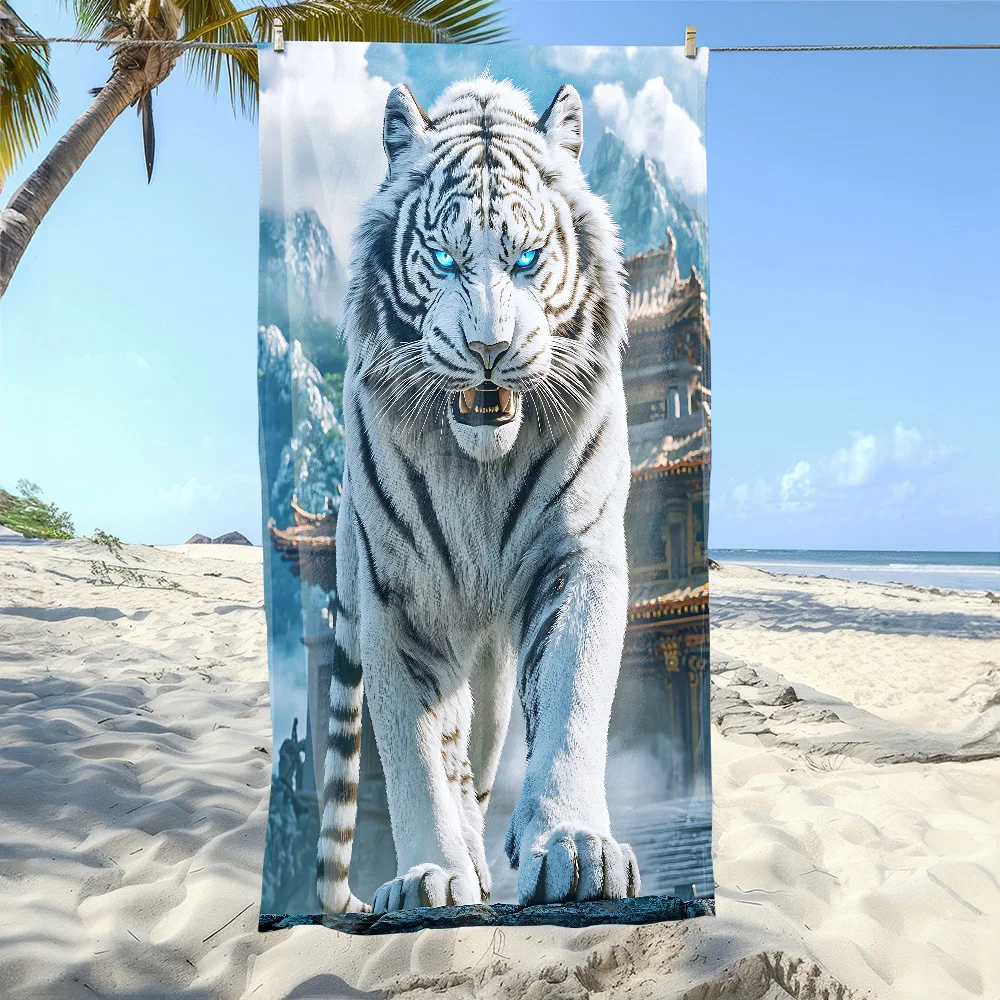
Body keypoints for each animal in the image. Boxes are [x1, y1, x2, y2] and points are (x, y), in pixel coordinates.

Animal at [316, 74, 639, 914]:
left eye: (526, 259)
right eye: (442, 257)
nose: (489, 349)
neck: (478, 476)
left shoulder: (576, 556)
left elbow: (573, 699)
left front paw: (575, 847)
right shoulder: (396, 598)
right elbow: (414, 752)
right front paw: (429, 876)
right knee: (453, 755)